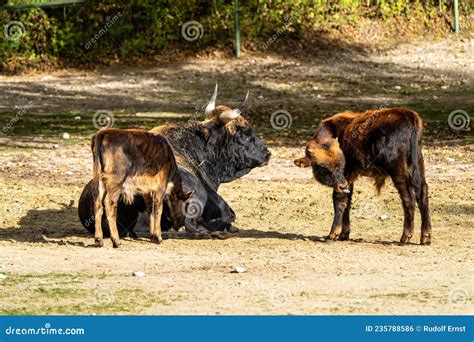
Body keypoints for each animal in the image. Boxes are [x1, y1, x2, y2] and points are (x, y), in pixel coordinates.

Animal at [296, 108, 434, 244]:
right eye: (323, 167)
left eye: (341, 163)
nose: (341, 185)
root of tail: (408, 115)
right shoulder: (349, 179)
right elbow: (347, 202)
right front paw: (344, 233)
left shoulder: (347, 175)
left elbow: (339, 200)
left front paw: (333, 234)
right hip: (418, 165)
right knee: (422, 194)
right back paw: (426, 236)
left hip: (398, 170)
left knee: (409, 197)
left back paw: (406, 236)